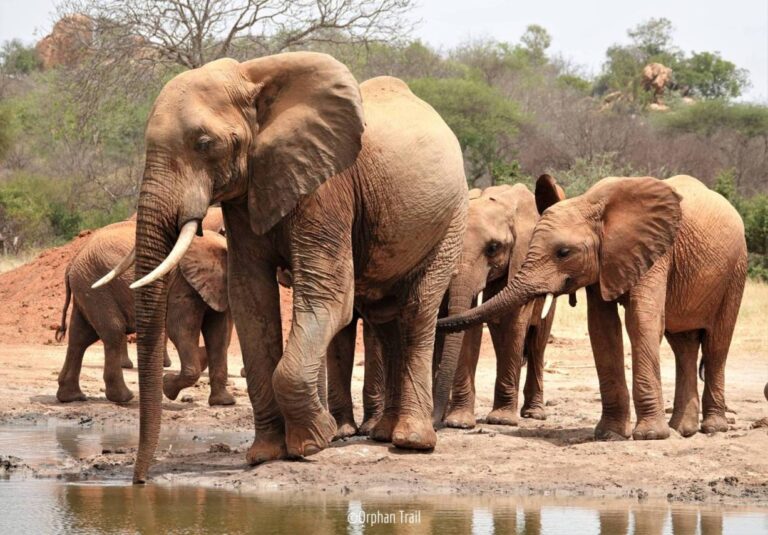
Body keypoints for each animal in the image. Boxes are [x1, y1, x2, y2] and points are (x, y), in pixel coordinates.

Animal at [56, 218, 232, 406]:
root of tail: (72, 261)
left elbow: (219, 335)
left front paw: (224, 402)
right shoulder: (183, 284)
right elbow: (180, 330)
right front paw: (167, 387)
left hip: (86, 287)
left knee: (80, 337)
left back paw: (71, 397)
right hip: (95, 286)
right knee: (113, 332)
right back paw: (124, 397)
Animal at [124, 52, 468, 484]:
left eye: (204, 144)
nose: (140, 481)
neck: (253, 77)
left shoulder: (327, 185)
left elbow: (329, 295)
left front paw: (313, 442)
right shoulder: (249, 189)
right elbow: (250, 298)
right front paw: (266, 454)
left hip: (450, 218)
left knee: (417, 310)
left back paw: (411, 442)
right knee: (386, 318)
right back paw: (384, 434)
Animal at [440, 175, 748, 440]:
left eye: (563, 253)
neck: (593, 203)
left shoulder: (656, 252)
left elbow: (641, 320)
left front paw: (649, 436)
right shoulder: (604, 261)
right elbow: (601, 328)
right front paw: (610, 435)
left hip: (736, 271)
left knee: (717, 345)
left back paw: (712, 428)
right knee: (683, 346)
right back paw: (682, 430)